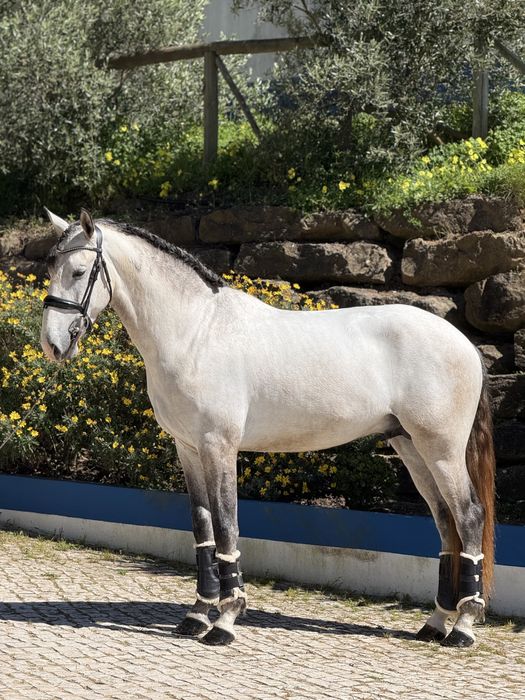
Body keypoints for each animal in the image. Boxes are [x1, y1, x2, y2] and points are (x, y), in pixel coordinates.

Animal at [40, 208, 495, 648]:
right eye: (50, 267)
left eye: (78, 271)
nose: (52, 344)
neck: (196, 331)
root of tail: (463, 342)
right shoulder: (187, 448)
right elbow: (202, 528)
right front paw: (197, 615)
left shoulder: (218, 445)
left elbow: (226, 525)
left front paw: (225, 620)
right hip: (411, 447)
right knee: (446, 520)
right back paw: (435, 622)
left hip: (441, 449)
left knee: (469, 516)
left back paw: (464, 628)